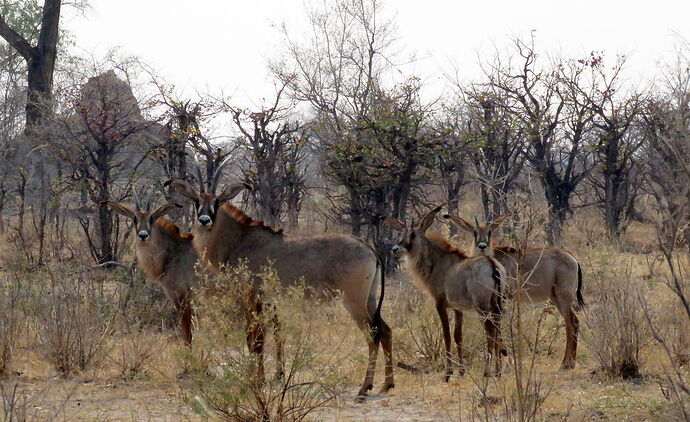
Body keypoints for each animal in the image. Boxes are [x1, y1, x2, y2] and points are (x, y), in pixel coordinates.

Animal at [104, 196, 196, 344]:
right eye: (135, 219)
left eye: (151, 219)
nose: (143, 235)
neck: (171, 252)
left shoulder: (182, 296)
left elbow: (187, 335)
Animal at [164, 176, 396, 400]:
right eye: (197, 201)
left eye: (217, 201)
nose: (204, 221)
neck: (239, 240)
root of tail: (369, 248)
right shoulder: (262, 301)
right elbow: (256, 339)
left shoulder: (252, 298)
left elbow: (255, 340)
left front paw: (256, 382)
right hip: (369, 300)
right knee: (386, 330)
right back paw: (386, 385)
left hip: (354, 301)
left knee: (373, 334)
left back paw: (364, 388)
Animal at [382, 208, 506, 380]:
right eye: (401, 233)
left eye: (413, 235)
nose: (395, 249)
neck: (438, 262)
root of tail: (492, 265)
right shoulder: (458, 308)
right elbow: (458, 336)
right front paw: (461, 370)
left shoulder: (440, 303)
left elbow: (446, 335)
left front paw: (448, 372)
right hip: (496, 306)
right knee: (498, 330)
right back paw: (498, 371)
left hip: (482, 307)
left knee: (490, 331)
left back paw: (487, 372)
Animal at [444, 214, 584, 370]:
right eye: (474, 232)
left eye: (490, 232)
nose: (482, 246)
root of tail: (573, 259)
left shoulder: (501, 297)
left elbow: (496, 326)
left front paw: (502, 355)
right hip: (555, 297)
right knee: (574, 321)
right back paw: (570, 363)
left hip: (563, 295)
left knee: (570, 323)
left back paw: (566, 363)